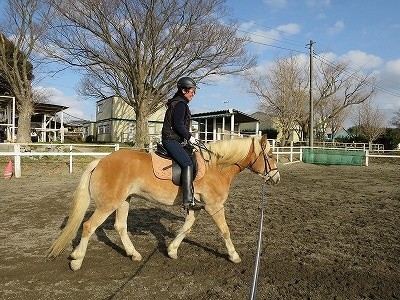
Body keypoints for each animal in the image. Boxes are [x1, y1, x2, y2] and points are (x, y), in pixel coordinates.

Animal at [47, 135, 278, 270]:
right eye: (270, 155)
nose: (276, 178)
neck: (216, 167)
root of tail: (101, 161)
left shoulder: (196, 207)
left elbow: (186, 228)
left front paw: (172, 250)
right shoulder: (214, 206)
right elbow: (225, 231)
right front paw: (234, 255)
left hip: (124, 201)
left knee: (120, 227)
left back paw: (133, 254)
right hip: (108, 205)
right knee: (88, 226)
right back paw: (77, 259)